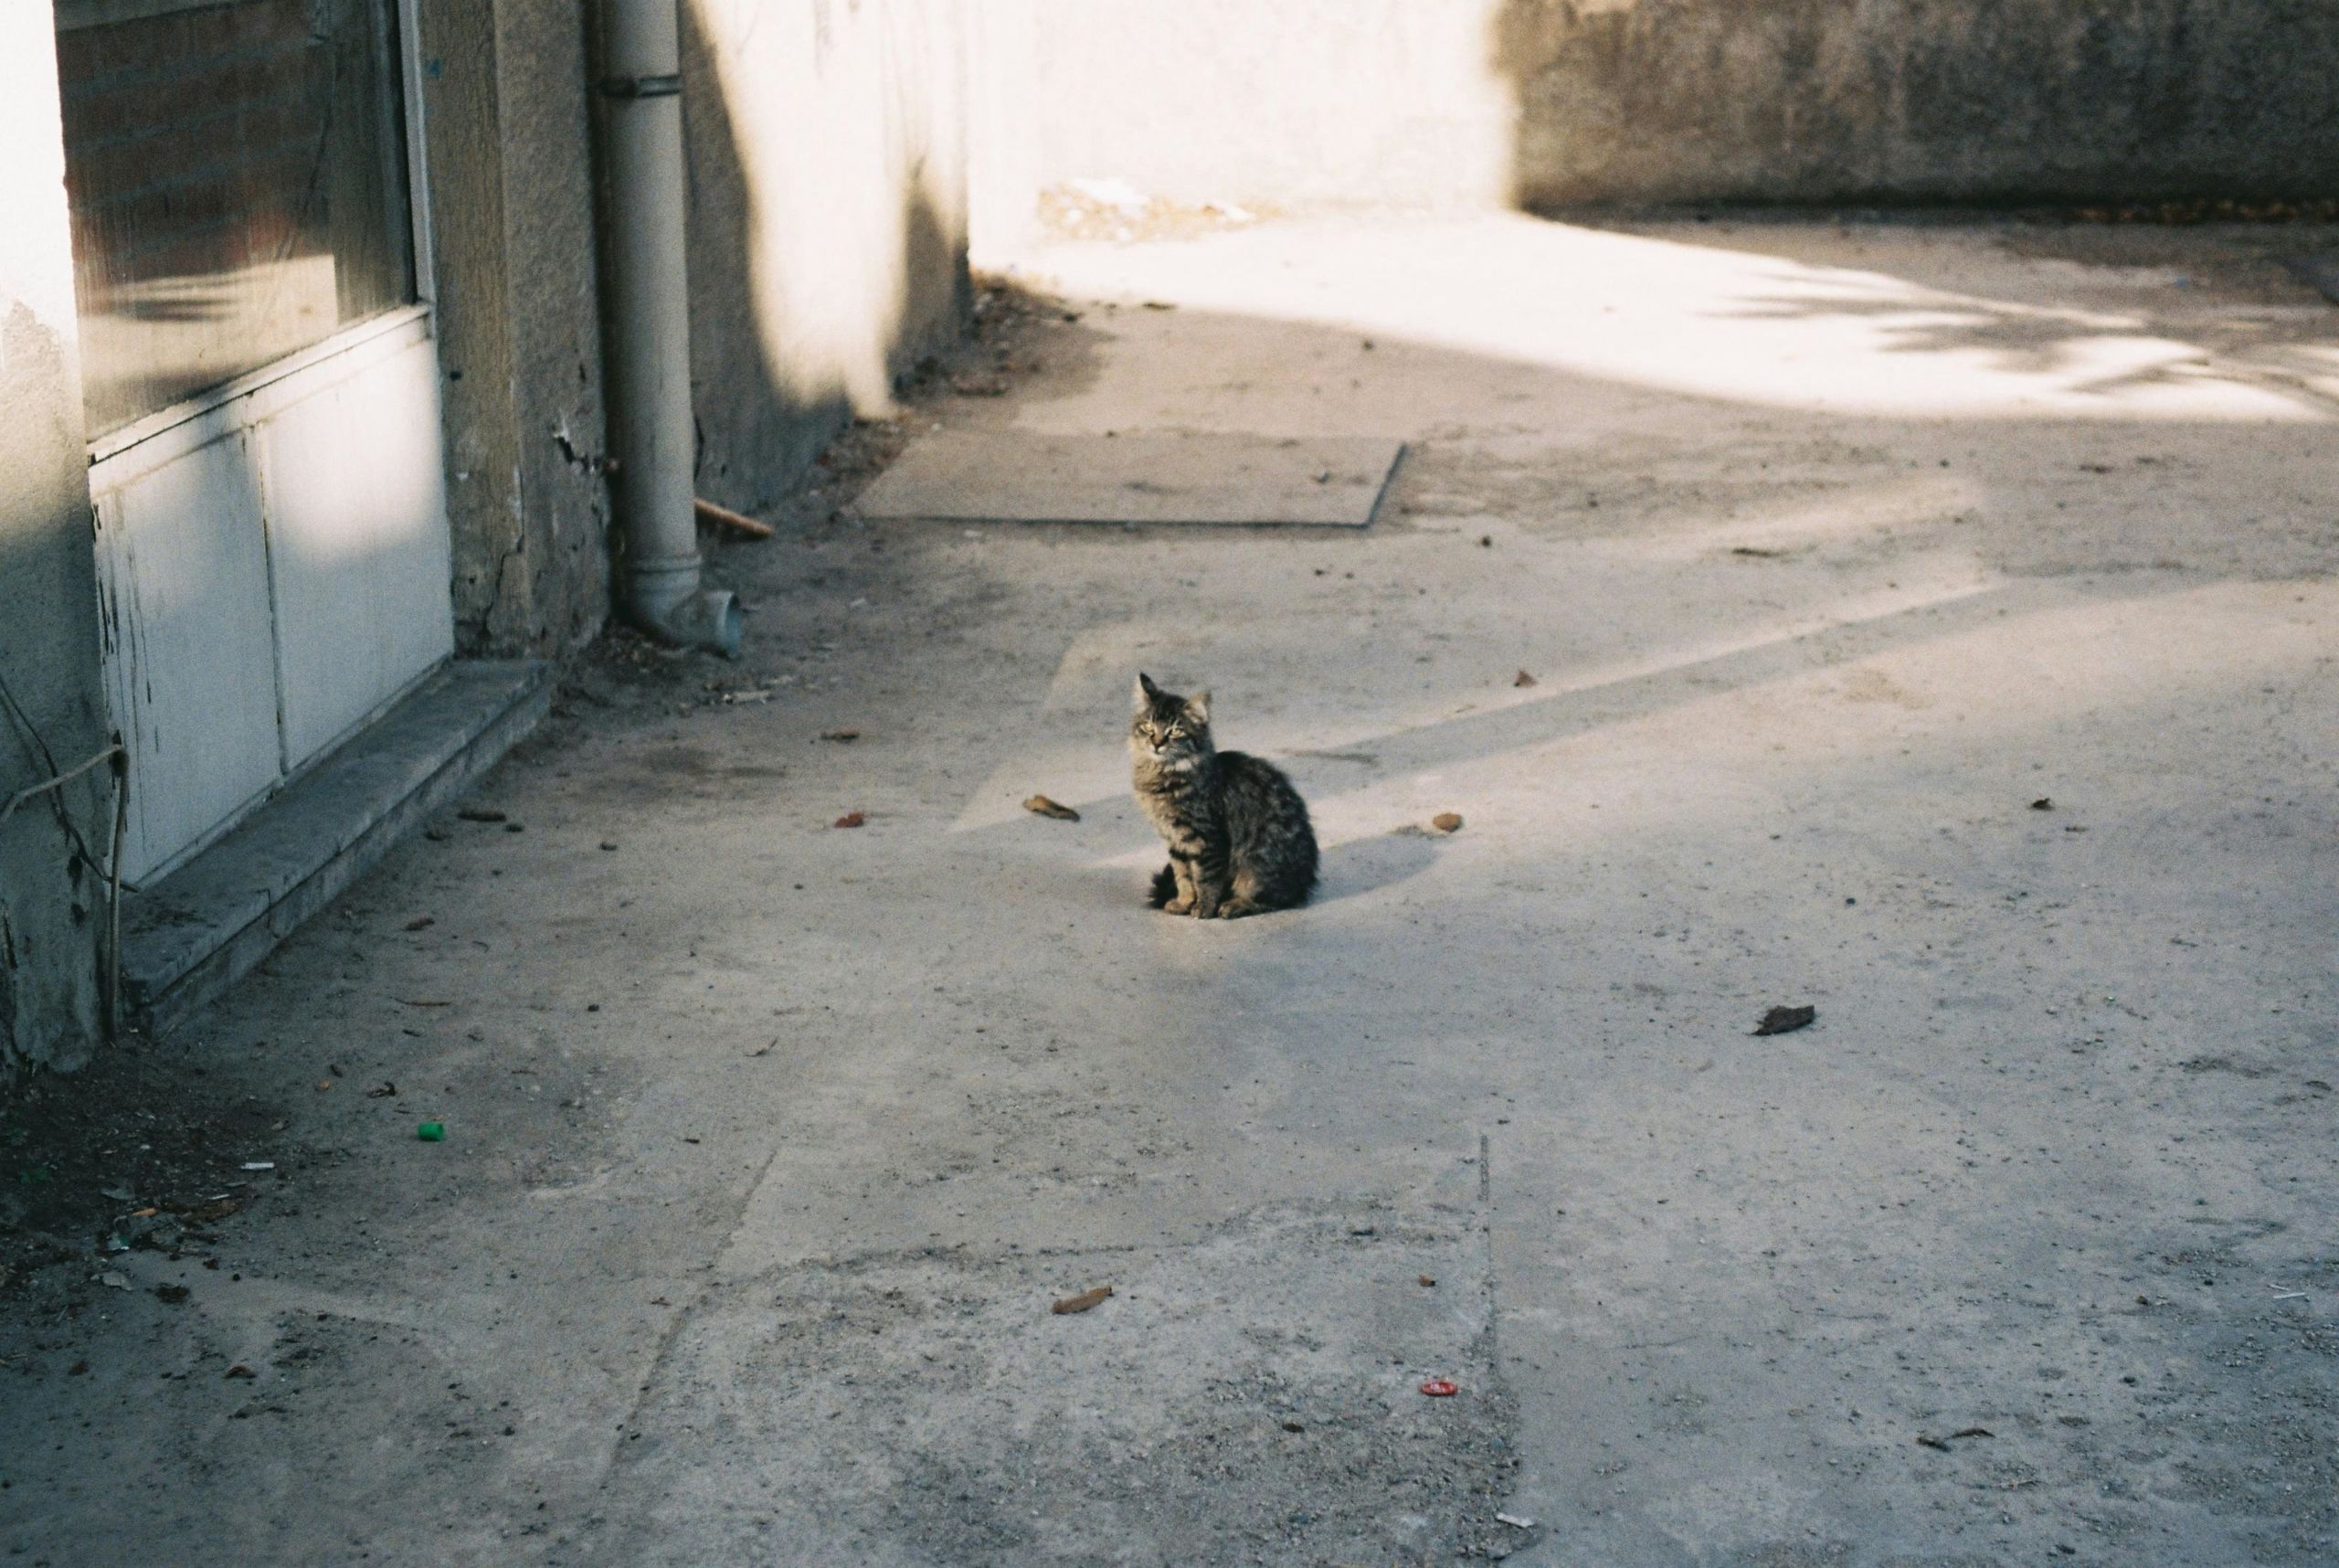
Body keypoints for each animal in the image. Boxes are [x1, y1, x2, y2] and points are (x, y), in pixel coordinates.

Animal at [1127, 673, 1318, 922]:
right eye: (1148, 726)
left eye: (1175, 731)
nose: (1157, 743)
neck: (1163, 775)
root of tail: (1306, 880)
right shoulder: (1175, 840)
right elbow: (1183, 877)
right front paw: (1184, 902)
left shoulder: (1207, 838)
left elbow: (1206, 880)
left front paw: (1203, 909)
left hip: (1256, 864)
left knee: (1274, 899)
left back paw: (1234, 905)